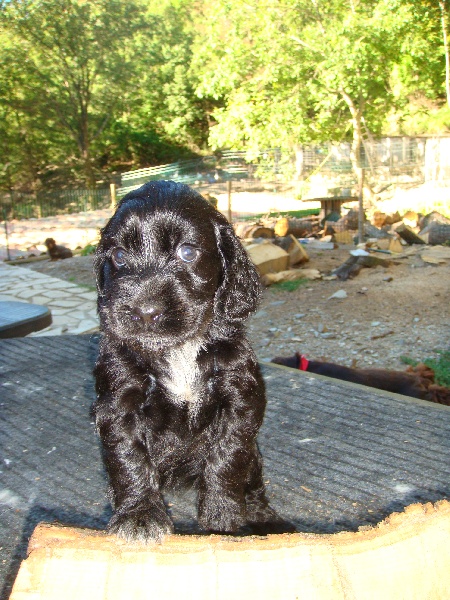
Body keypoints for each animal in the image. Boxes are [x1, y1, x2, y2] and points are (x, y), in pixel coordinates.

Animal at [94, 180, 292, 540]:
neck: (178, 350)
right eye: (118, 256)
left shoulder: (241, 398)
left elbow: (228, 455)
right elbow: (129, 458)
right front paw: (138, 515)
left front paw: (222, 517)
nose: (145, 313)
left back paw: (265, 517)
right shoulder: (118, 401)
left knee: (254, 481)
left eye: (187, 252)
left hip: (255, 456)